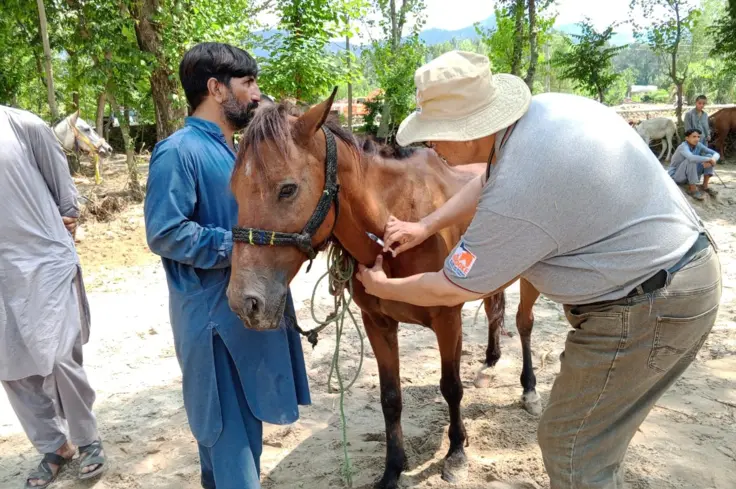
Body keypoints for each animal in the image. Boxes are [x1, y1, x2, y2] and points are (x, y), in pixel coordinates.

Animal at [227, 90, 541, 489]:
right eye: (234, 191)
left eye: (287, 188)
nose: (245, 303)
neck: (396, 223)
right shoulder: (378, 323)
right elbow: (390, 398)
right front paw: (393, 468)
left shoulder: (447, 319)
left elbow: (451, 386)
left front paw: (456, 453)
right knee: (494, 312)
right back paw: (488, 364)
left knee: (523, 324)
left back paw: (529, 390)